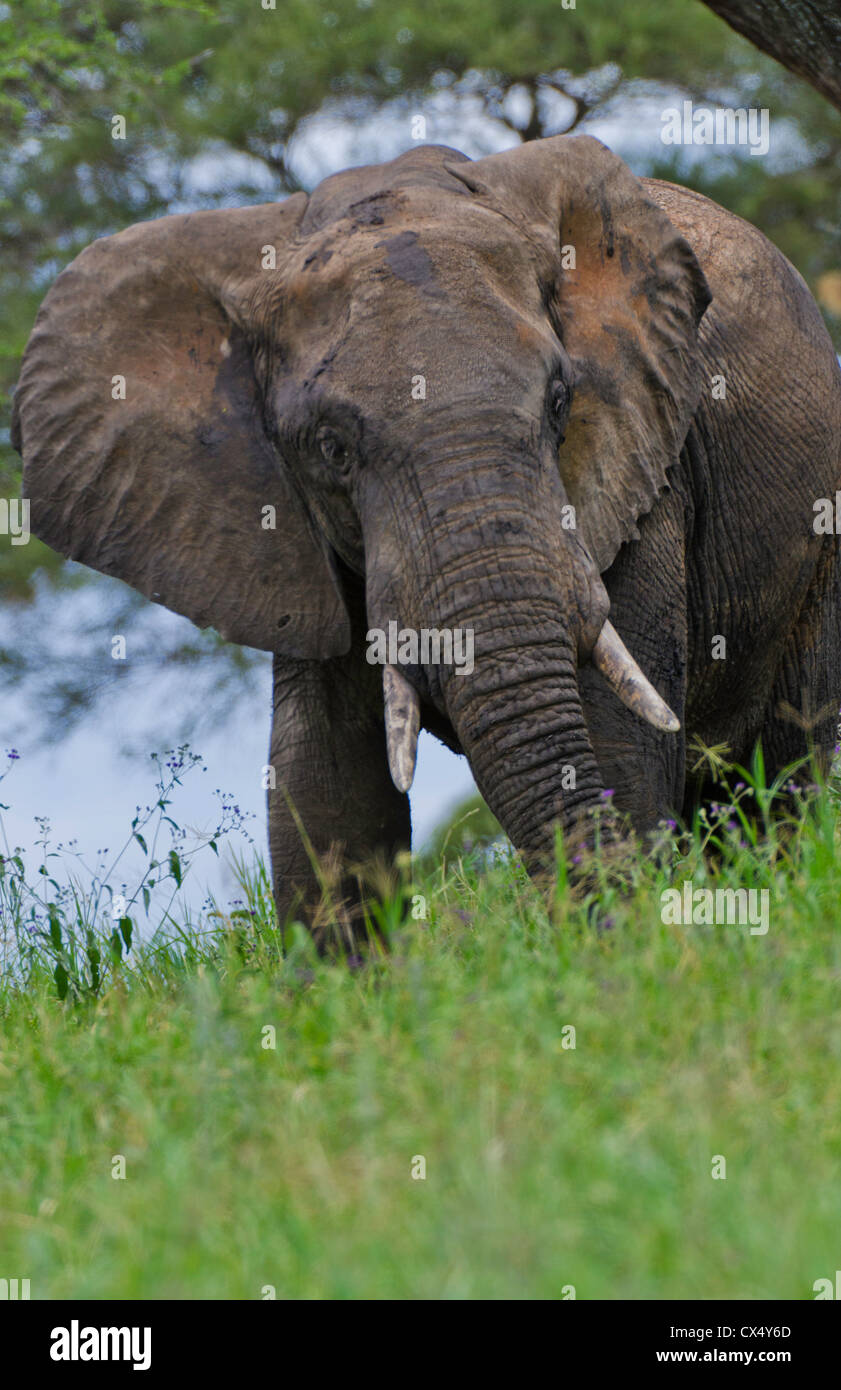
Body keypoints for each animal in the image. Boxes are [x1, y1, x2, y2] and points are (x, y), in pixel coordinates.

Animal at [11, 135, 839, 939]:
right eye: (332, 448)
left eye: (559, 402)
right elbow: (323, 779)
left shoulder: (642, 469)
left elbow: (611, 741)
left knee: (790, 768)